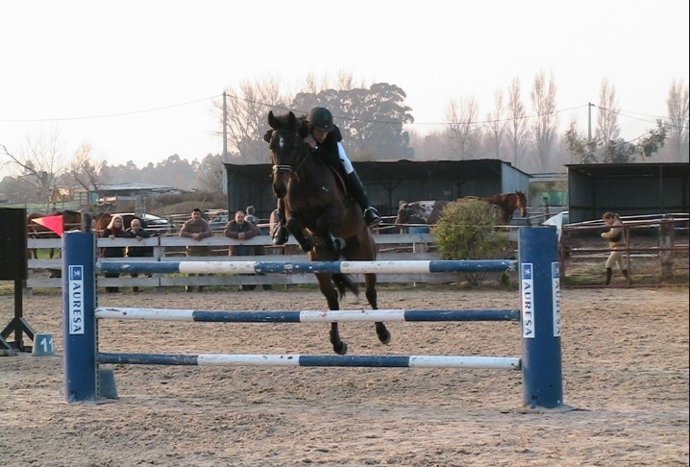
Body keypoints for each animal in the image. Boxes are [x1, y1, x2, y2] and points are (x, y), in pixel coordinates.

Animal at [265, 110, 389, 355]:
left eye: (294, 146)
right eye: (272, 146)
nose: (279, 188)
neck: (303, 179)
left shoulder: (336, 211)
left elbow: (324, 222)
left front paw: (331, 239)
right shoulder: (294, 214)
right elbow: (292, 224)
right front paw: (305, 242)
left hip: (365, 255)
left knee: (370, 292)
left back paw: (383, 333)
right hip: (320, 267)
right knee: (332, 299)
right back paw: (338, 344)